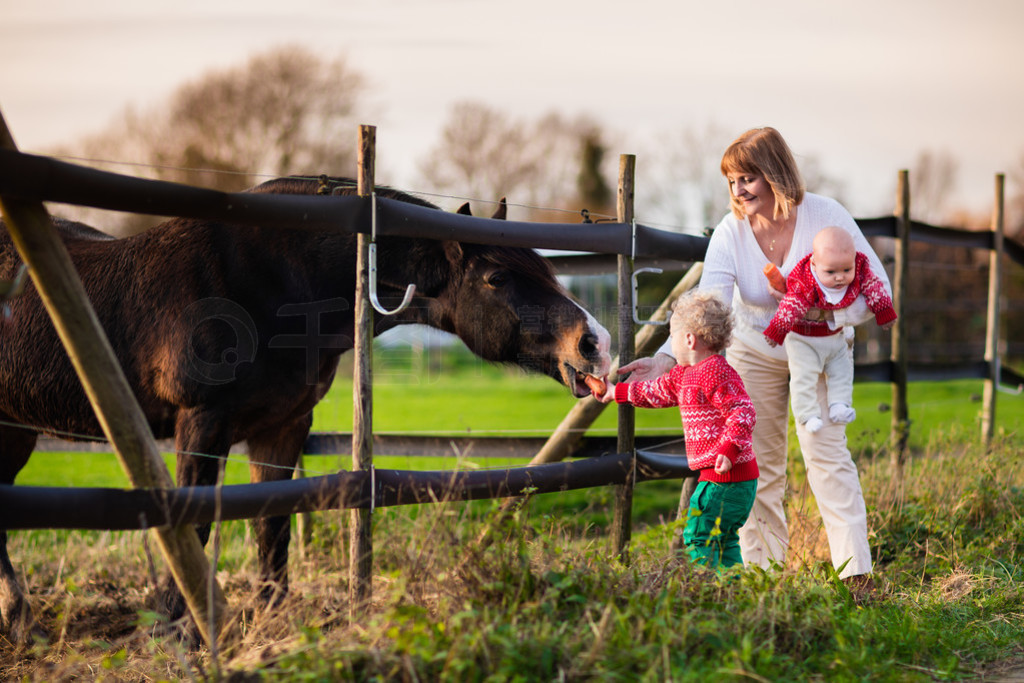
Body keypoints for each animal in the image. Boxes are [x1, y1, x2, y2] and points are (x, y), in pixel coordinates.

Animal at [0, 176, 606, 643]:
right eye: (496, 278)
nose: (594, 342)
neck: (271, 284)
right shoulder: (202, 422)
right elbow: (193, 524)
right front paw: (177, 631)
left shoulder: (283, 426)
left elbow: (272, 525)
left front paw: (269, 622)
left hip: (16, 431)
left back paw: (21, 623)